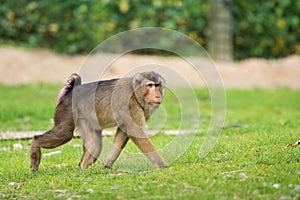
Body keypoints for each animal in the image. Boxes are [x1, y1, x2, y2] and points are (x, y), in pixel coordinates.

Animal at [31, 72, 171, 172]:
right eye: (150, 85)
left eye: (158, 85)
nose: (158, 95)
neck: (135, 92)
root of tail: (71, 92)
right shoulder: (128, 103)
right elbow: (135, 131)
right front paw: (163, 165)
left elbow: (123, 132)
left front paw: (106, 166)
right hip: (67, 110)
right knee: (64, 134)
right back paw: (35, 145)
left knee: (94, 145)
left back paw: (83, 169)